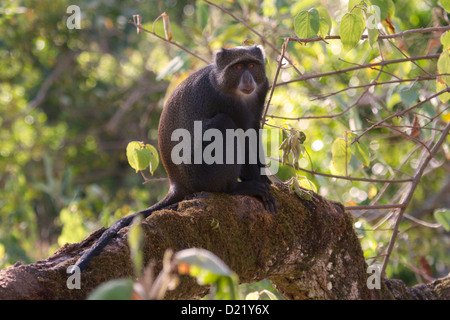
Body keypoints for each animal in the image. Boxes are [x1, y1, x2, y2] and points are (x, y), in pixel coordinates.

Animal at [74, 44, 276, 272]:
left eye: (251, 65)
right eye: (239, 67)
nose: (248, 80)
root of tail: (176, 183)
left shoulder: (261, 88)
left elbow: (253, 131)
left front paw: (265, 179)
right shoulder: (225, 100)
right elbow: (244, 134)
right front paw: (258, 184)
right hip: (201, 174)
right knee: (224, 124)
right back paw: (235, 188)